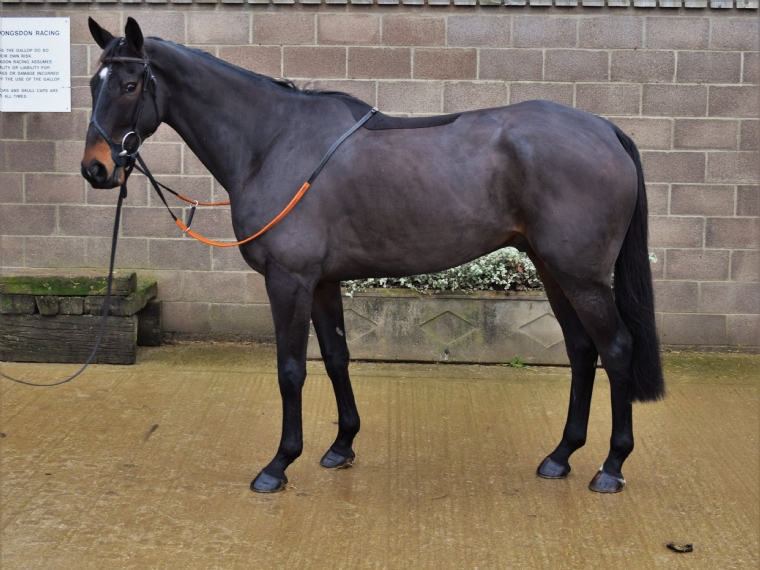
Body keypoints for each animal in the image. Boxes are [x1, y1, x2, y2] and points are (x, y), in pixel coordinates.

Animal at [81, 18, 664, 495]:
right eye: (92, 83)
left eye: (130, 85)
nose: (96, 169)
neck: (272, 141)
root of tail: (605, 129)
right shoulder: (320, 281)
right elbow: (337, 357)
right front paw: (341, 446)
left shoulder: (288, 280)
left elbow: (290, 369)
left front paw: (278, 464)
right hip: (552, 268)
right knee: (582, 351)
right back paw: (561, 455)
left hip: (581, 275)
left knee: (615, 349)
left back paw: (611, 466)